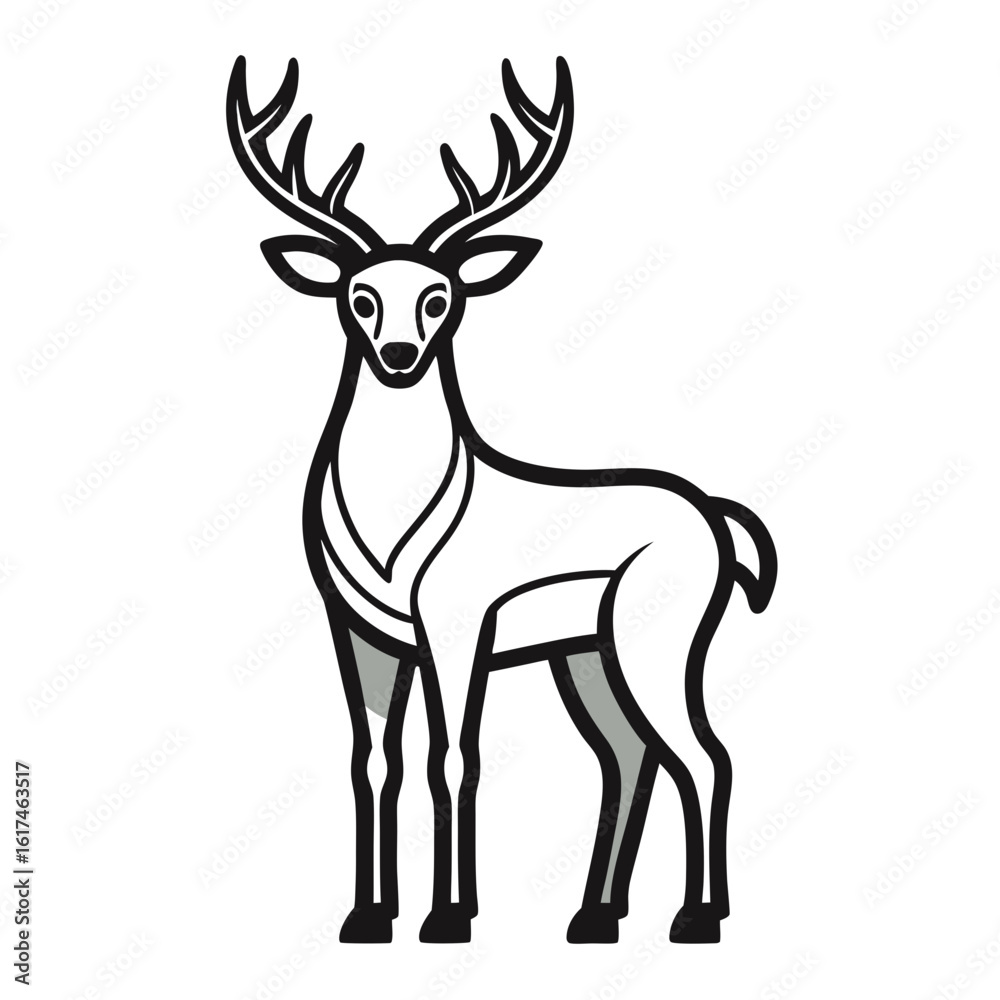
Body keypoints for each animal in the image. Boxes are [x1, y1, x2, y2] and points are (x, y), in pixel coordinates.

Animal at [226, 54, 777, 945]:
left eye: (440, 296)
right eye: (359, 296)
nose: (400, 356)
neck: (394, 527)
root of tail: (716, 518)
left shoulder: (456, 627)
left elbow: (454, 756)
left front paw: (449, 916)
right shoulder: (357, 631)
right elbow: (374, 760)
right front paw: (367, 916)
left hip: (656, 639)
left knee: (703, 754)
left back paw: (697, 918)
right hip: (585, 654)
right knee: (628, 755)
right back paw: (594, 916)